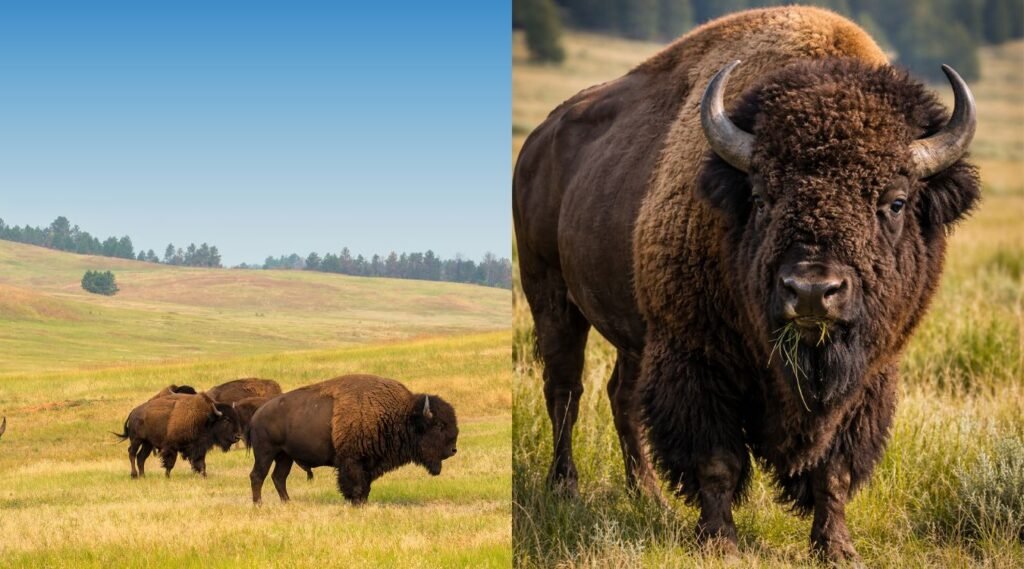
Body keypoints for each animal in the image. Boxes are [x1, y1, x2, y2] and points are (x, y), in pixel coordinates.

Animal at [247, 374, 458, 504]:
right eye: (439, 425)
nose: (453, 450)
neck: (399, 414)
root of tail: (257, 414)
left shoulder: (369, 464)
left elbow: (365, 487)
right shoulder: (352, 461)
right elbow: (355, 486)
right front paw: (356, 503)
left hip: (285, 456)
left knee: (278, 477)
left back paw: (287, 503)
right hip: (266, 452)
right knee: (258, 476)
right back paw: (259, 505)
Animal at [513, 6, 977, 561]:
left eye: (896, 201)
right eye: (760, 197)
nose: (811, 291)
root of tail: (538, 140)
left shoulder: (869, 377)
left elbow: (835, 469)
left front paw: (836, 548)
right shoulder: (697, 358)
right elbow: (717, 460)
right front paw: (720, 541)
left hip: (634, 330)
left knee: (620, 397)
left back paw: (647, 496)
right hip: (552, 298)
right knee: (565, 391)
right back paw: (565, 488)